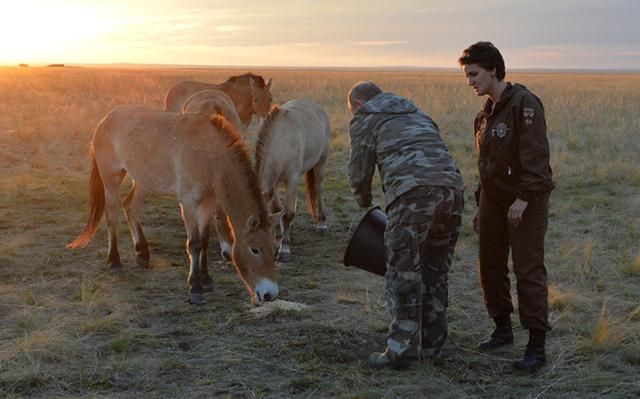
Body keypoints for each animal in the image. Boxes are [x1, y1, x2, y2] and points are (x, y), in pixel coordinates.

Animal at [68, 104, 280, 304]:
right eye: (254, 249)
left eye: (274, 248)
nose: (270, 294)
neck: (209, 156)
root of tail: (104, 120)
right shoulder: (189, 203)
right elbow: (194, 243)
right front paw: (195, 287)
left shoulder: (208, 202)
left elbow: (204, 240)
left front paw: (206, 279)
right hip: (111, 178)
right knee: (112, 216)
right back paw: (114, 262)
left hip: (144, 181)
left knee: (130, 207)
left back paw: (142, 253)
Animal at [256, 99, 332, 262]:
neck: (281, 142)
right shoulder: (275, 184)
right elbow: (276, 210)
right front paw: (278, 237)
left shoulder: (291, 180)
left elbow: (287, 214)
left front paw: (284, 249)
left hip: (320, 163)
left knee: (318, 189)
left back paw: (322, 223)